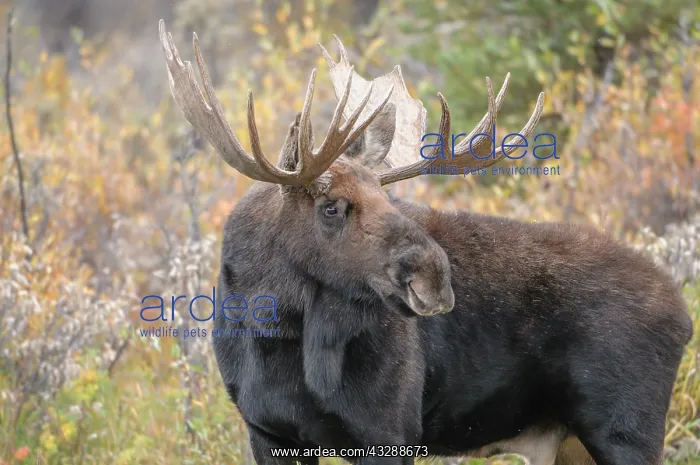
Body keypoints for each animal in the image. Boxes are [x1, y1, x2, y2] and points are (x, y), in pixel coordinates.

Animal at [158, 20, 693, 465]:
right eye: (331, 206)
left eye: (387, 196)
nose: (435, 278)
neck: (275, 337)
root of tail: (684, 317)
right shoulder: (267, 433)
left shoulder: (388, 431)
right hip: (572, 444)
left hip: (625, 431)